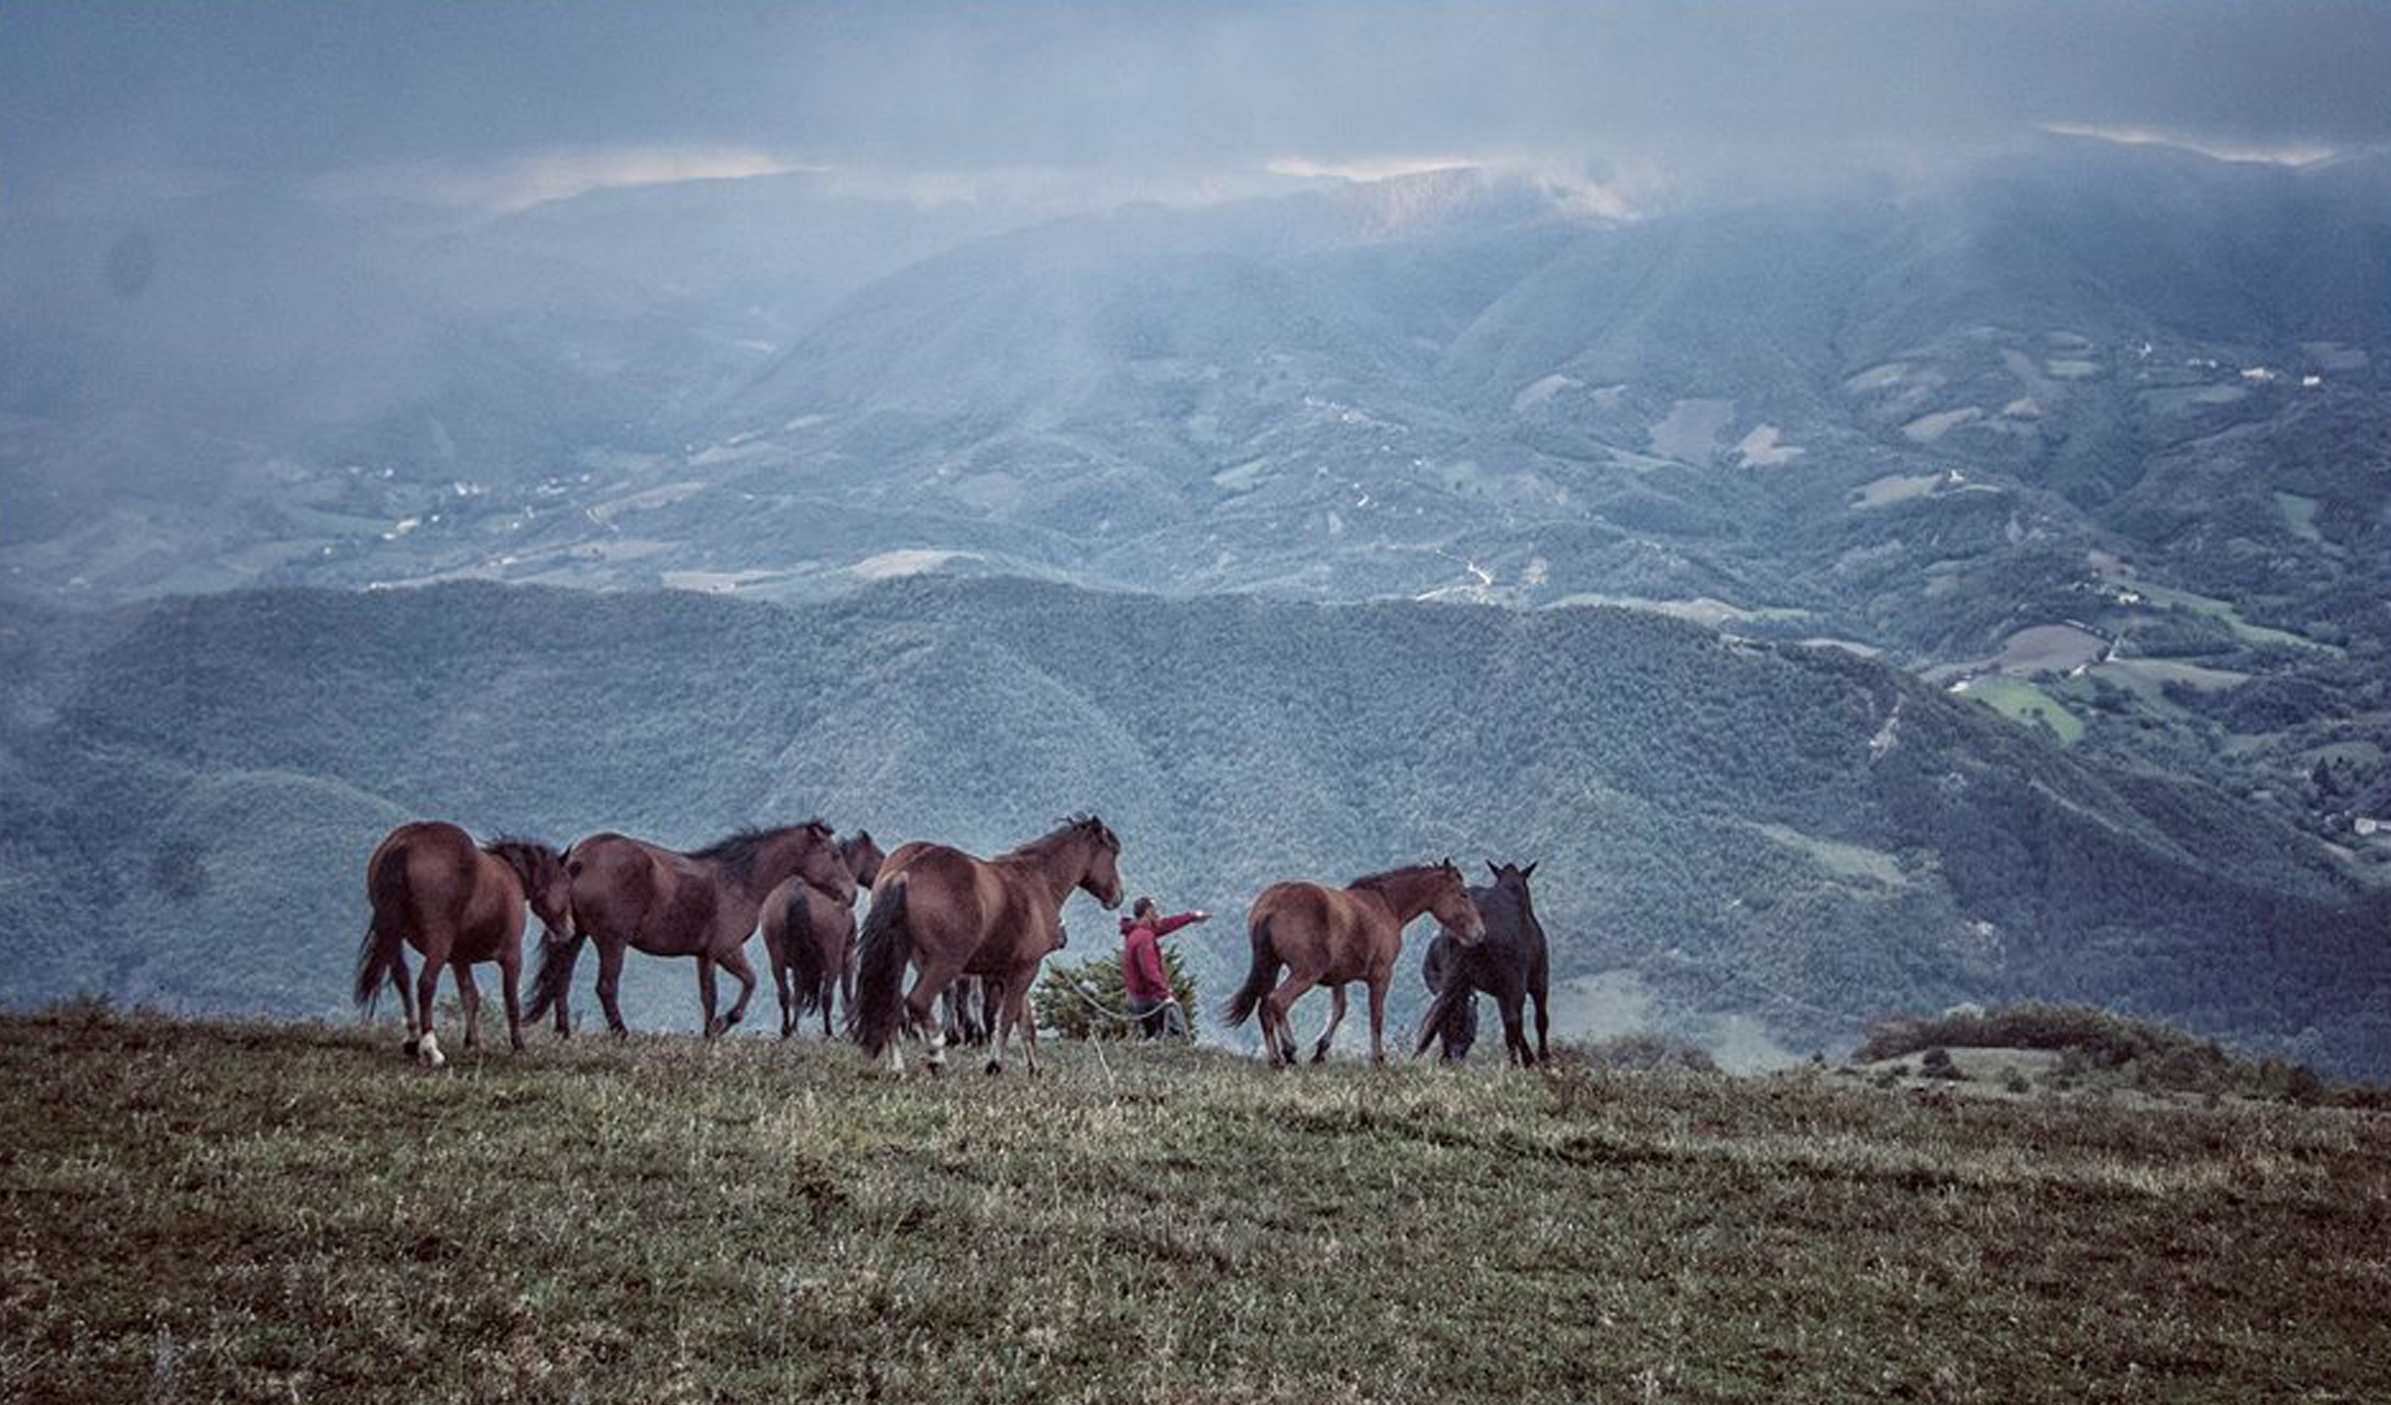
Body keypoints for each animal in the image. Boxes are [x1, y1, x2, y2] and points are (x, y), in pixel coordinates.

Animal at [349, 821, 573, 1065]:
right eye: (565, 883)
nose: (569, 930)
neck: (513, 874)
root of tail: (404, 844)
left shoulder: (460, 959)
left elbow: (470, 997)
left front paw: (472, 1043)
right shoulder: (512, 956)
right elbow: (511, 1000)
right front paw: (518, 1046)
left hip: (394, 935)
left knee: (403, 978)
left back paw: (412, 1041)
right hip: (439, 942)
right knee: (426, 984)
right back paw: (430, 1048)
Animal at [528, 817, 855, 1037]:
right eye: (835, 855)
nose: (851, 894)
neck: (740, 880)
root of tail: (578, 858)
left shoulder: (709, 954)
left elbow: (720, 992)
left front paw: (713, 1030)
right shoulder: (722, 950)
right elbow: (735, 988)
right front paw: (719, 1026)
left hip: (575, 936)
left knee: (561, 980)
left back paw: (564, 1032)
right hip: (612, 941)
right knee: (606, 986)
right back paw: (621, 1032)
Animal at [760, 826, 884, 1037]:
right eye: (880, 855)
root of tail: (797, 892)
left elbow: (798, 994)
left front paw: (795, 1028)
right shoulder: (848, 957)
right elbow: (847, 996)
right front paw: (851, 1031)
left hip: (777, 958)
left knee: (785, 994)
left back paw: (787, 1030)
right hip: (832, 958)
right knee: (827, 995)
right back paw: (828, 1032)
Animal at [855, 812, 1123, 1075]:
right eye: (1113, 852)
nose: (1117, 897)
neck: (1038, 881)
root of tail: (906, 872)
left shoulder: (1010, 971)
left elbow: (1024, 1022)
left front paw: (1034, 1068)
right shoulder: (1026, 968)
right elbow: (1006, 1019)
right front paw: (994, 1064)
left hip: (903, 960)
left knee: (891, 1004)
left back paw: (898, 1068)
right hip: (945, 964)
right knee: (918, 1002)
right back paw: (936, 1056)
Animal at [1224, 860, 1482, 1070]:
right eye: (1463, 895)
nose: (1479, 933)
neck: (1386, 905)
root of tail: (1271, 905)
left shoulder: (1339, 978)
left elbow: (1339, 1010)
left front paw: (1320, 1052)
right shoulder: (1381, 974)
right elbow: (1376, 1015)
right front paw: (1378, 1058)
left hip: (1272, 967)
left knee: (1264, 1007)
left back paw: (1275, 1059)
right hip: (1305, 973)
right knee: (1277, 1002)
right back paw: (1289, 1052)